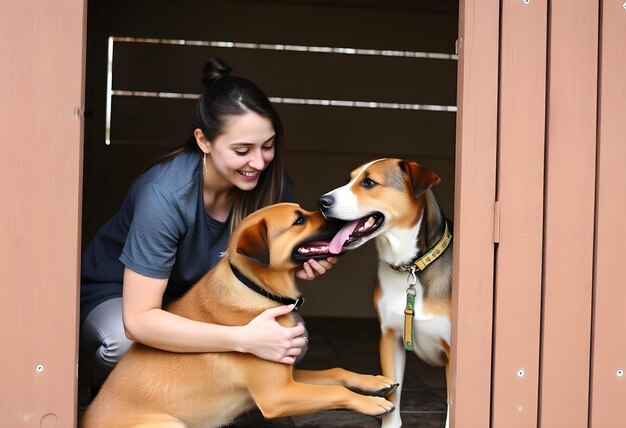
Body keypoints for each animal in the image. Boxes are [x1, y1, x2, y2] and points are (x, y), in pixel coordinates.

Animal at [81, 203, 394, 428]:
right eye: (298, 221)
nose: (337, 214)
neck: (256, 288)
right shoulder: (278, 393)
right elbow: (335, 392)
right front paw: (372, 404)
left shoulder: (289, 376)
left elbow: (336, 372)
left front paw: (374, 381)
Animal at [320, 158, 450, 428]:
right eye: (350, 179)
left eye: (369, 182)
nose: (322, 202)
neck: (410, 266)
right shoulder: (390, 337)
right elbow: (393, 395)